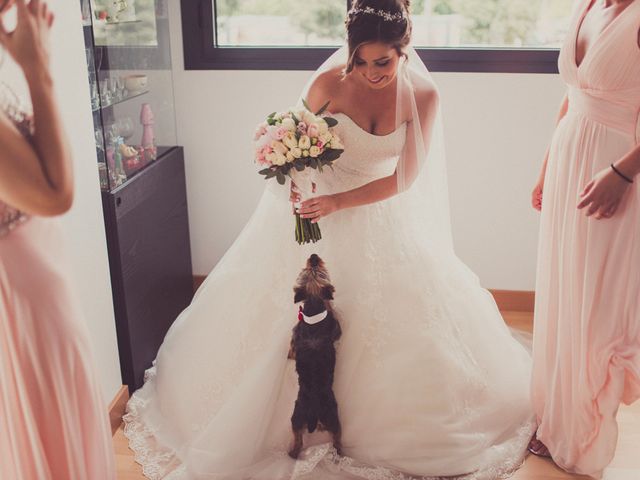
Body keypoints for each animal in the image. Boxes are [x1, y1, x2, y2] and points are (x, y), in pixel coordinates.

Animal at [288, 253, 342, 460]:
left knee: (298, 441)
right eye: (308, 270)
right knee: (337, 438)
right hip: (333, 416)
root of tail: (313, 416)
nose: (313, 256)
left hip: (297, 418)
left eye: (317, 270)